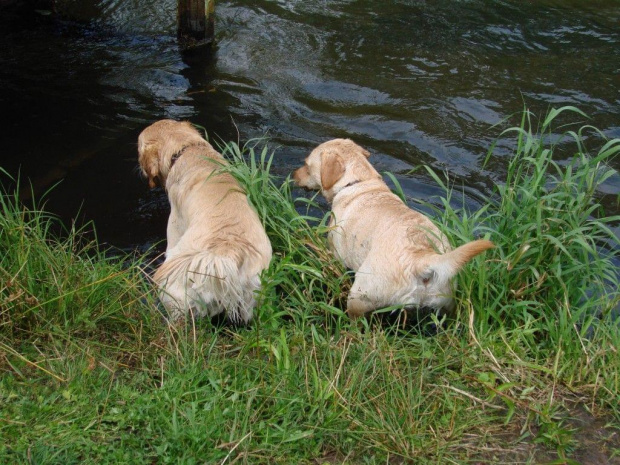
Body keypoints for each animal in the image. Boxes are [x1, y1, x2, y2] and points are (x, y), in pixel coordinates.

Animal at [294, 138, 492, 318]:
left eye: (306, 164)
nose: (293, 175)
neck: (359, 181)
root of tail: (423, 259)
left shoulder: (335, 252)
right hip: (445, 302)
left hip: (360, 295)